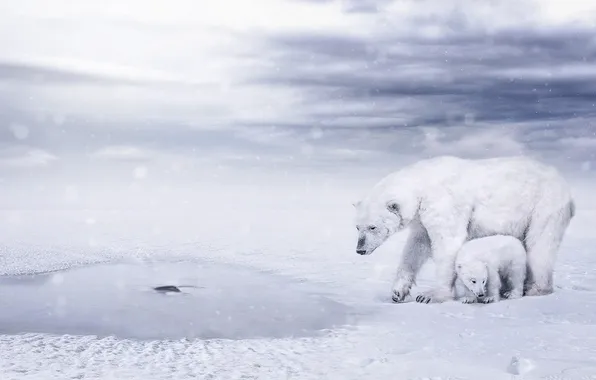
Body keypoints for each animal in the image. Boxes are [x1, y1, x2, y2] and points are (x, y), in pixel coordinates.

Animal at [352, 156, 576, 304]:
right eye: (357, 226)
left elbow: (447, 244)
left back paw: (535, 288)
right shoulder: (422, 219)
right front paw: (398, 292)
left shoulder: (443, 205)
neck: (422, 185)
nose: (360, 249)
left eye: (373, 227)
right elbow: (416, 247)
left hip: (543, 206)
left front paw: (430, 295)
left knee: (540, 244)